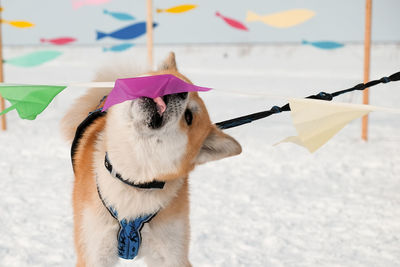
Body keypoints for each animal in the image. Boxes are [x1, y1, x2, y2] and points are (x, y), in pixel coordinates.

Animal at [61, 52, 242, 267]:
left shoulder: (172, 254)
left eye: (189, 117)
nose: (180, 91)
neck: (133, 182)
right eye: (171, 80)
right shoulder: (94, 252)